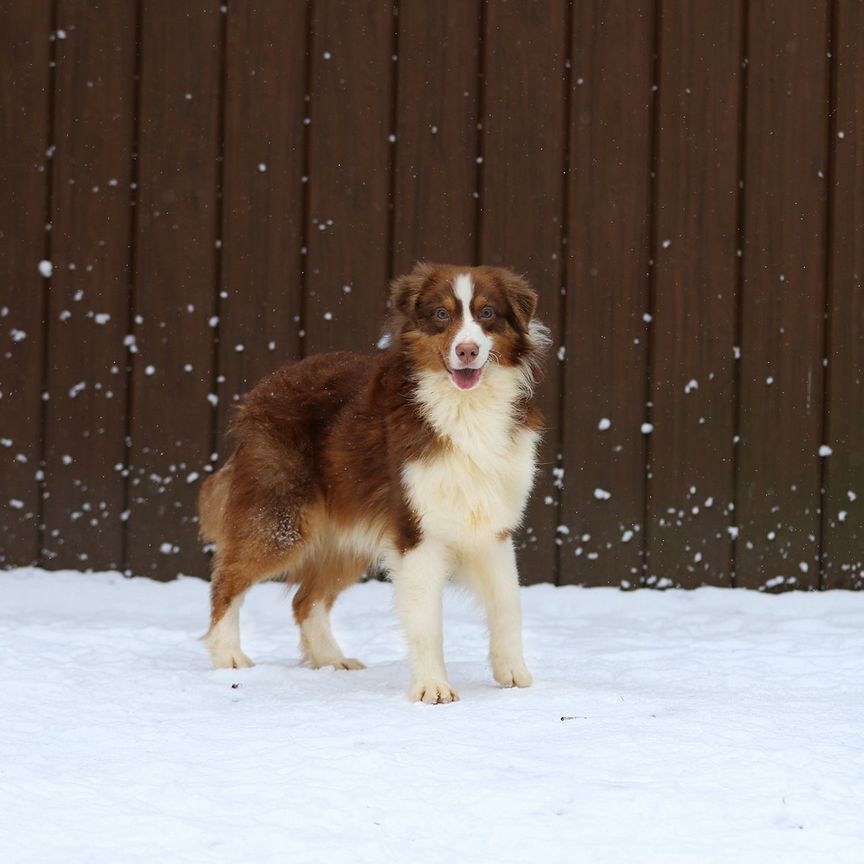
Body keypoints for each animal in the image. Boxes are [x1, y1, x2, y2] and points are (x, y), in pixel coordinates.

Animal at [199, 262, 552, 704]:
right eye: (441, 315)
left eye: (487, 314)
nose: (467, 350)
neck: (465, 406)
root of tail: (262, 390)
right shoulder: (416, 530)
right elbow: (426, 621)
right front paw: (433, 687)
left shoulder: (493, 525)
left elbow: (508, 604)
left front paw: (514, 675)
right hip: (281, 520)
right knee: (227, 578)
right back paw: (227, 655)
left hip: (346, 535)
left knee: (305, 600)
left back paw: (331, 661)